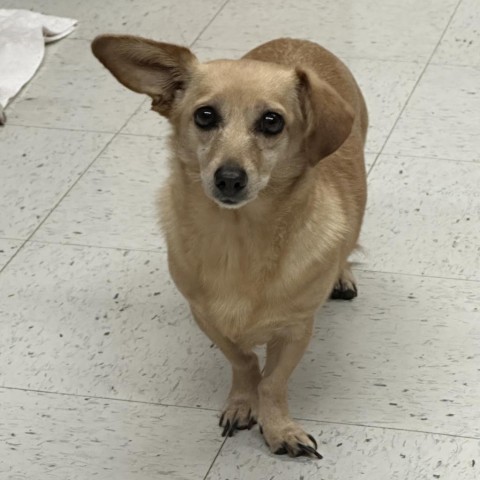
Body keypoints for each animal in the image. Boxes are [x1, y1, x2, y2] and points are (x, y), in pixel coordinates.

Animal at [91, 34, 368, 458]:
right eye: (205, 116)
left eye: (272, 121)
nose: (230, 178)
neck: (239, 240)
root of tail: (295, 40)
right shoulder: (206, 317)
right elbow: (245, 361)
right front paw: (242, 403)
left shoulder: (296, 329)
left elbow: (272, 381)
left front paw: (279, 427)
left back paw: (343, 275)